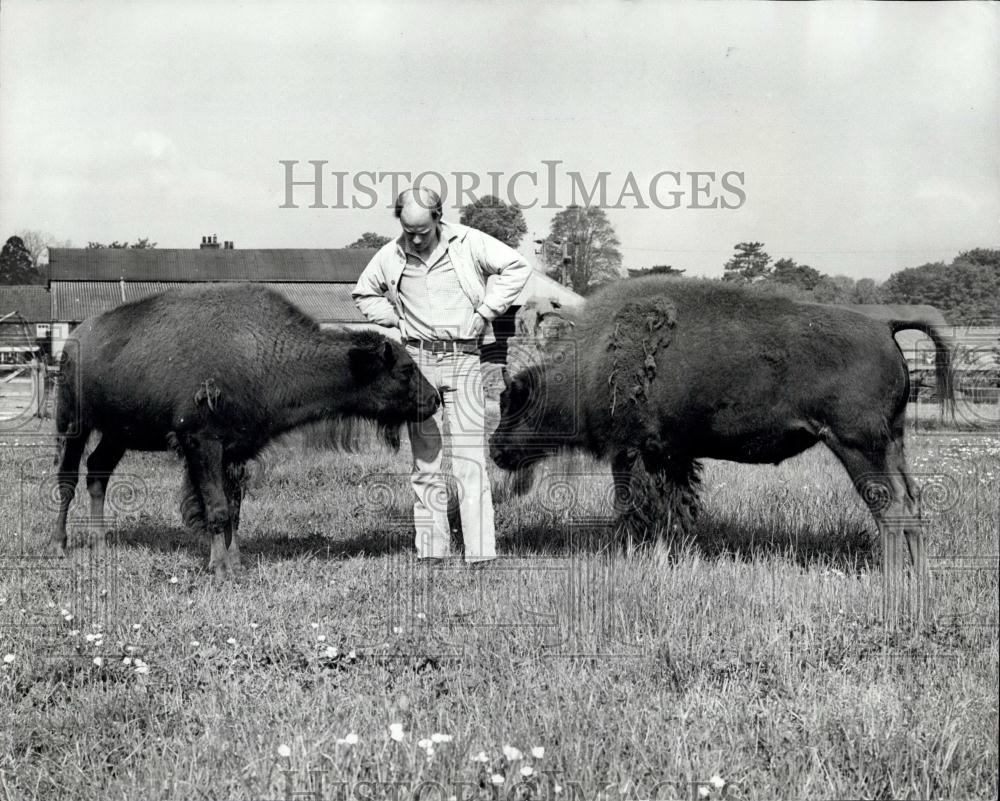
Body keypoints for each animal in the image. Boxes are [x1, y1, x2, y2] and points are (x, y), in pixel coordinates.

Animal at [53, 284, 438, 580]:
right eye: (405, 370)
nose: (435, 399)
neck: (261, 352)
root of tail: (75, 338)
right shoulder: (202, 444)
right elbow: (216, 509)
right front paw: (222, 570)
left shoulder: (236, 452)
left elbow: (234, 511)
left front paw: (235, 562)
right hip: (73, 424)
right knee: (67, 479)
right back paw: (59, 544)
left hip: (117, 434)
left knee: (98, 472)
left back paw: (101, 543)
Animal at [490, 278, 952, 616]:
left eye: (511, 400)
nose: (494, 448)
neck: (593, 360)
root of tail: (883, 325)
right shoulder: (672, 457)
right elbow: (674, 510)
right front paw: (669, 556)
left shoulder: (636, 454)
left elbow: (635, 508)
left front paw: (633, 555)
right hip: (892, 443)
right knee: (911, 504)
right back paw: (919, 578)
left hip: (858, 446)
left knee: (889, 507)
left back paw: (891, 584)